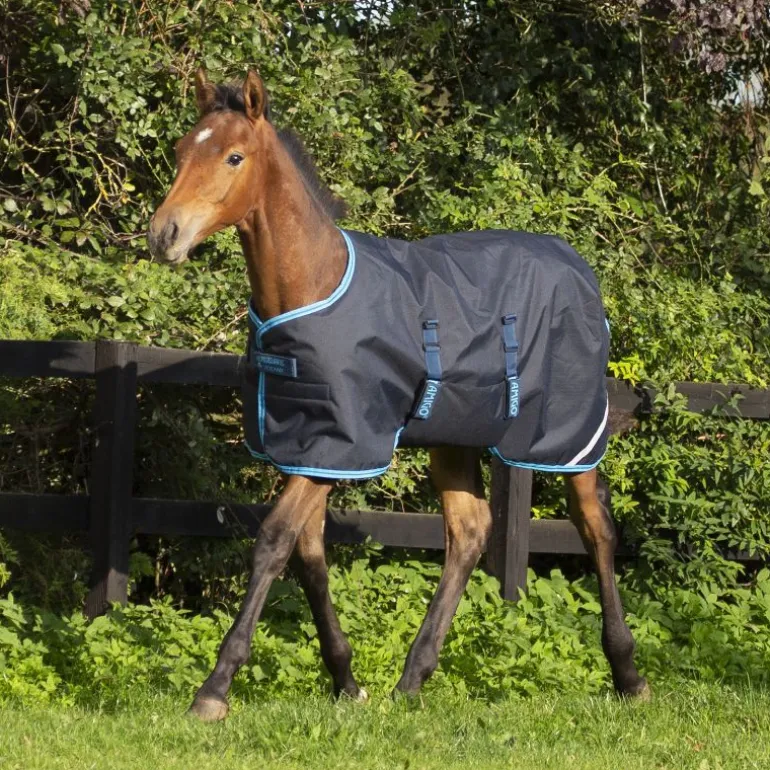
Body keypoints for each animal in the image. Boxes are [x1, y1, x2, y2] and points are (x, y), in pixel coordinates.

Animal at [147, 69, 649, 721]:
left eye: (234, 156)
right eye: (182, 150)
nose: (165, 235)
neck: (314, 284)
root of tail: (579, 269)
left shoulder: (343, 444)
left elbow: (274, 542)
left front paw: (214, 690)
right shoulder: (310, 446)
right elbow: (308, 552)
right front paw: (346, 680)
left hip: (568, 435)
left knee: (595, 528)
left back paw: (628, 674)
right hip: (454, 437)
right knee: (469, 531)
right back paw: (413, 678)